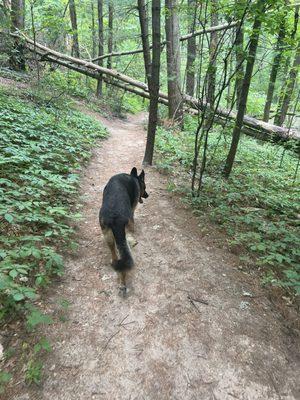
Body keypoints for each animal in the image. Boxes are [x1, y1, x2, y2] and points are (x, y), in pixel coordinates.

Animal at [99, 166, 149, 294]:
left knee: (116, 258)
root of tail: (114, 216)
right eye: (145, 187)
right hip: (127, 236)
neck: (133, 177)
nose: (147, 195)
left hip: (108, 237)